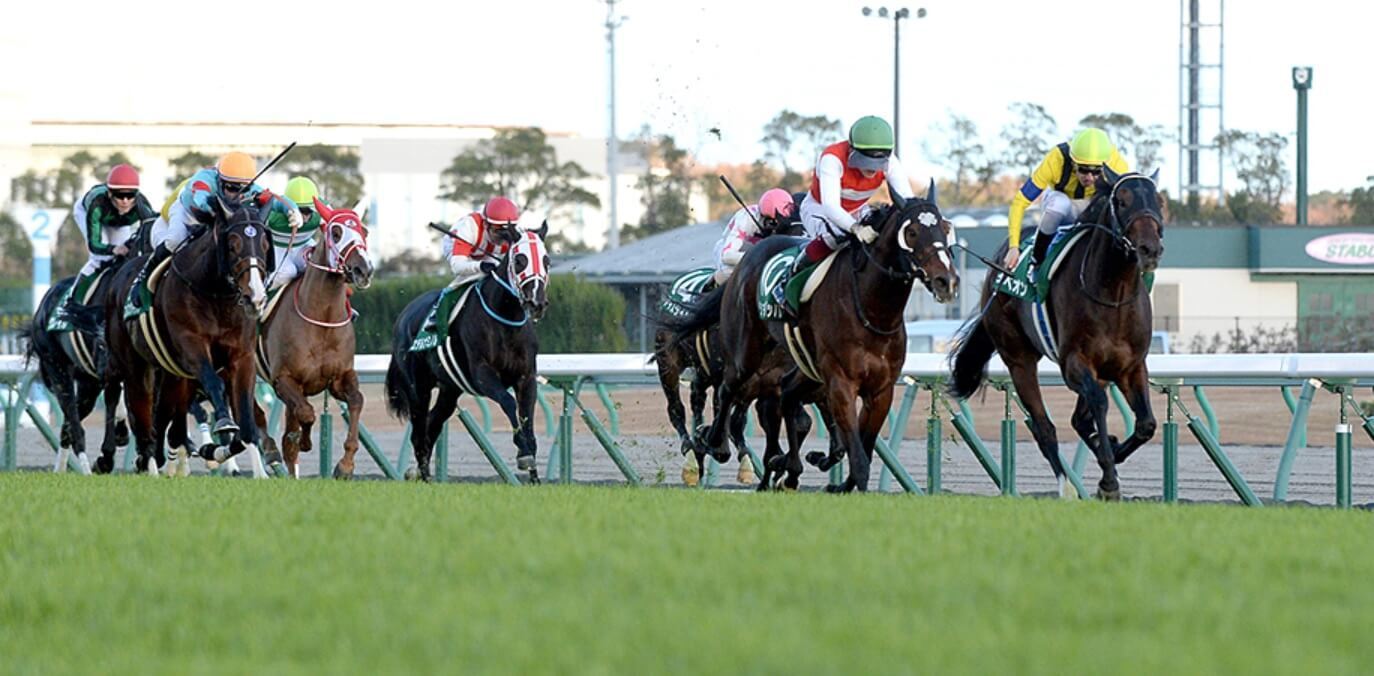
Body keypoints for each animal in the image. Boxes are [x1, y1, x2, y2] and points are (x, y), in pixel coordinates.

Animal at [255, 196, 373, 475]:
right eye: (336, 232)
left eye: (365, 231)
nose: (364, 270)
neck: (322, 321)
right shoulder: (283, 380)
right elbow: (306, 414)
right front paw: (305, 441)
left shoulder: (340, 377)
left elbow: (356, 401)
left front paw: (345, 465)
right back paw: (270, 449)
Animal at [384, 223, 549, 483]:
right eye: (520, 260)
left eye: (547, 260)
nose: (537, 303)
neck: (505, 319)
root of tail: (403, 316)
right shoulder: (482, 374)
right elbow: (509, 402)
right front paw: (523, 452)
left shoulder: (526, 377)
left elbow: (527, 416)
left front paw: (533, 474)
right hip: (417, 388)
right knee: (419, 430)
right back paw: (424, 476)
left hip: (449, 389)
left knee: (433, 424)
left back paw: (422, 473)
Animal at [684, 189, 956, 491]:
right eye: (911, 232)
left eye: (945, 228)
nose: (945, 280)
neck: (873, 311)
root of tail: (746, 263)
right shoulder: (840, 383)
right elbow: (858, 460)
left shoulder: (880, 390)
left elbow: (859, 449)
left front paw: (830, 478)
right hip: (746, 352)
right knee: (726, 390)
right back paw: (713, 442)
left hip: (806, 369)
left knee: (786, 394)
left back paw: (783, 463)